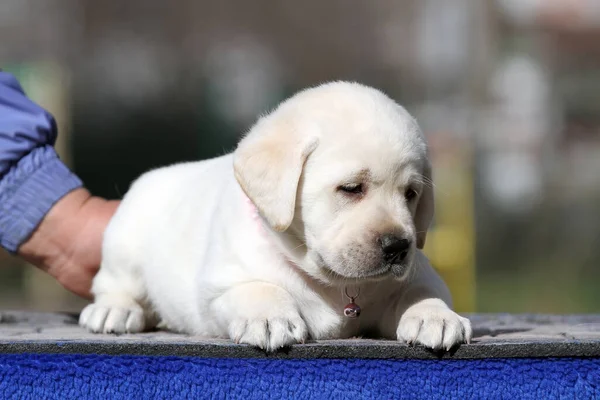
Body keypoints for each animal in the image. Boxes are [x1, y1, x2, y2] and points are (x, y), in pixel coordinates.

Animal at [81, 83, 474, 352]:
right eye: (351, 188)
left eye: (410, 194)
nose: (398, 246)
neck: (335, 284)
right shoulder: (219, 287)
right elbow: (258, 287)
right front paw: (270, 317)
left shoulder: (417, 277)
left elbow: (421, 290)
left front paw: (435, 316)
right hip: (124, 244)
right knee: (114, 285)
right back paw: (114, 311)